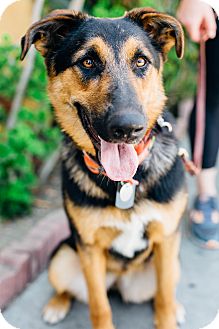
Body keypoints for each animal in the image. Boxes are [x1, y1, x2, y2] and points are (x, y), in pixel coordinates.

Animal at [21, 7, 187, 328]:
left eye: (141, 61)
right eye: (88, 61)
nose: (128, 129)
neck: (124, 183)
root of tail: (120, 281)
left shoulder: (167, 239)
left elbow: (164, 296)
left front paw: (168, 314)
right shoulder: (89, 249)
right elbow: (99, 305)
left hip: (169, 263)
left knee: (166, 287)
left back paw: (176, 307)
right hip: (63, 257)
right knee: (69, 287)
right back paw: (57, 303)